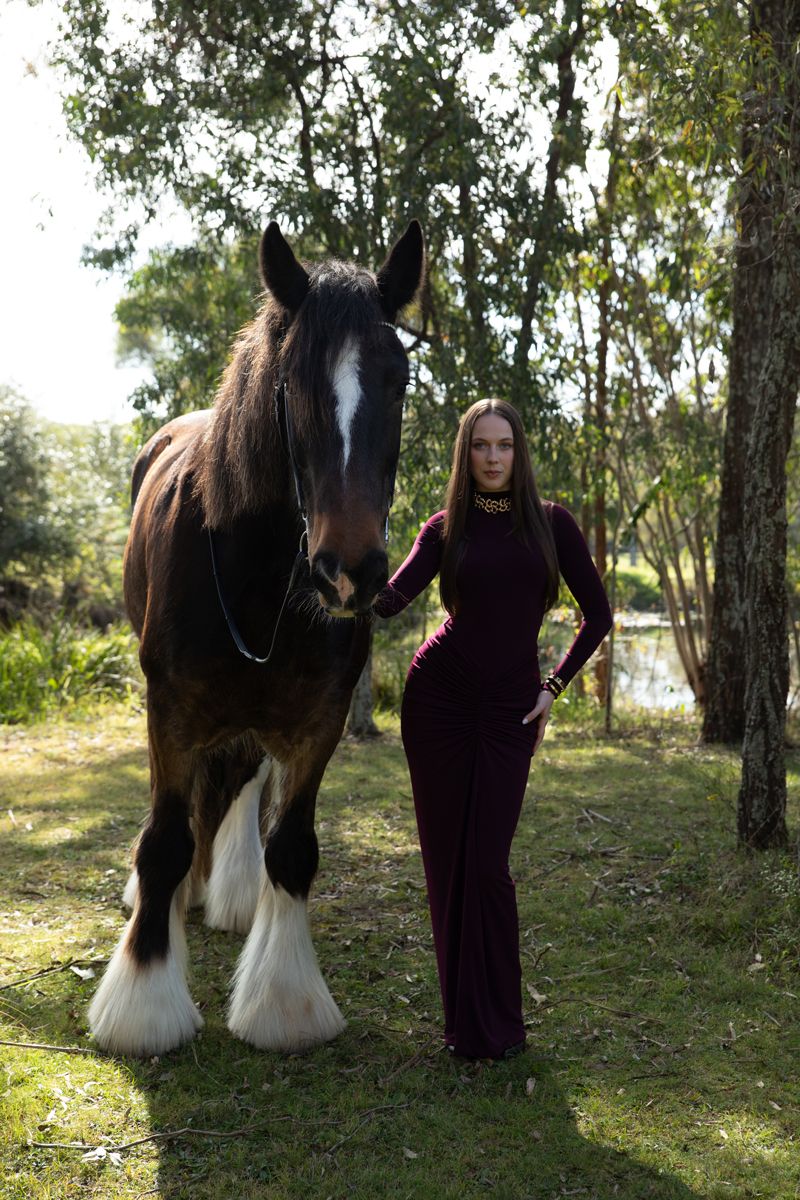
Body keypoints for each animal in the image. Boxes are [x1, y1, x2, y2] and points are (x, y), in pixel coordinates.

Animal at [88, 220, 425, 1057]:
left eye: (399, 378)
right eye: (293, 382)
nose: (351, 570)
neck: (260, 570)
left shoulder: (319, 722)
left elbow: (292, 849)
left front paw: (283, 1001)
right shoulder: (168, 711)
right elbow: (163, 841)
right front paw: (144, 1006)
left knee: (239, 785)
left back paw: (234, 893)